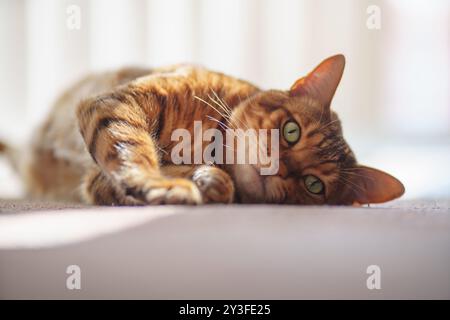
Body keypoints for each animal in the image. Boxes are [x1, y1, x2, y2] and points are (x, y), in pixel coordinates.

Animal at [0, 54, 404, 205]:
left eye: (313, 185)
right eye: (292, 131)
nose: (280, 170)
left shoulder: (95, 180)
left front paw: (210, 183)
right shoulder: (119, 103)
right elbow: (133, 150)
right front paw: (166, 183)